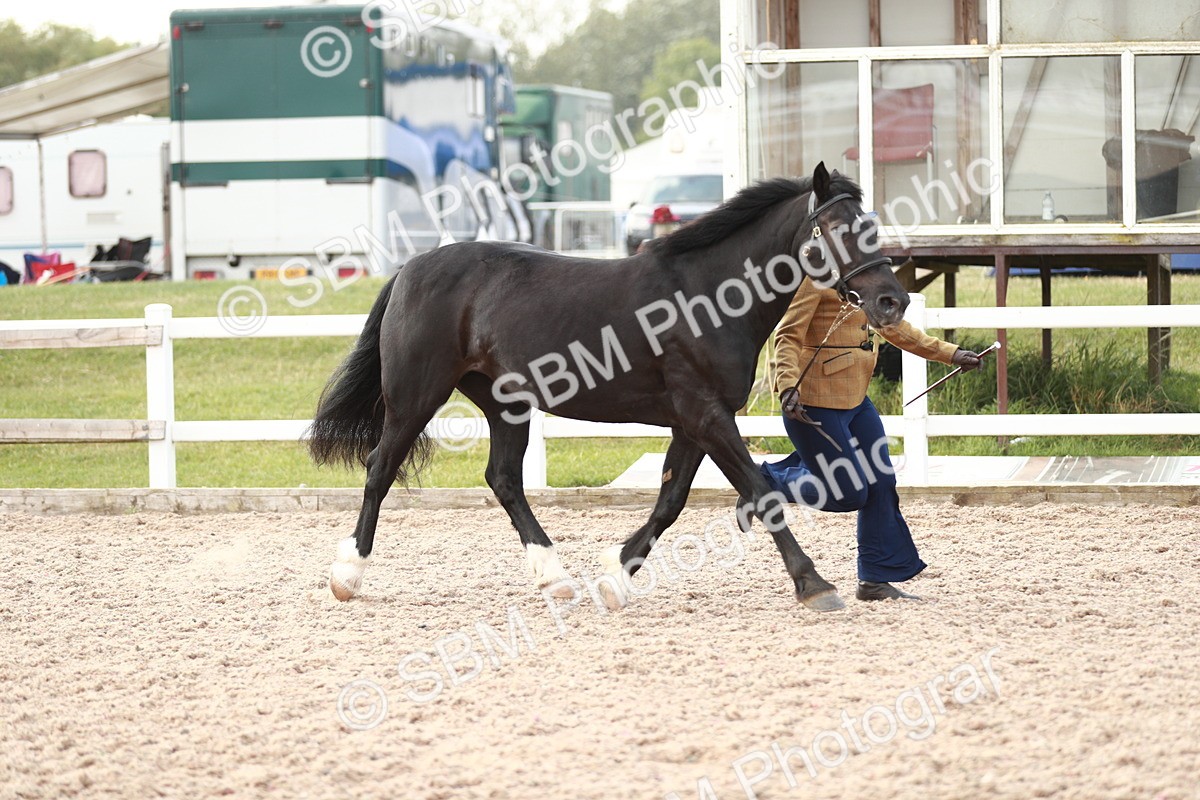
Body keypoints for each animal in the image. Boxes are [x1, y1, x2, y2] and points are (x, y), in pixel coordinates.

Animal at [307, 162, 909, 612]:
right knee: (380, 468)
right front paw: (815, 585)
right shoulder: (706, 414)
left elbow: (670, 501)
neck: (707, 296)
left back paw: (554, 577)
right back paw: (347, 576)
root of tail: (410, 268)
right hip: (416, 395)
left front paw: (614, 578)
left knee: (503, 479)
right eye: (837, 229)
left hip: (506, 404)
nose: (892, 301)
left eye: (871, 226)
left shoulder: (693, 421)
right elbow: (761, 493)